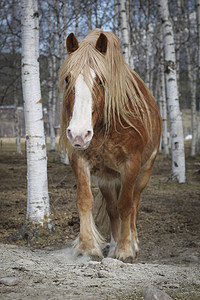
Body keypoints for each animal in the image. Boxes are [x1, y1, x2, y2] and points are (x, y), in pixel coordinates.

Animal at [59, 28, 162, 262]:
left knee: (133, 204)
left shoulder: (131, 165)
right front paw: (88, 247)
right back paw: (113, 244)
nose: (79, 134)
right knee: (113, 209)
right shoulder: (80, 160)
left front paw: (125, 250)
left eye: (101, 81)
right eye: (68, 78)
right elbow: (85, 200)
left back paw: (132, 243)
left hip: (144, 170)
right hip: (107, 178)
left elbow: (126, 206)